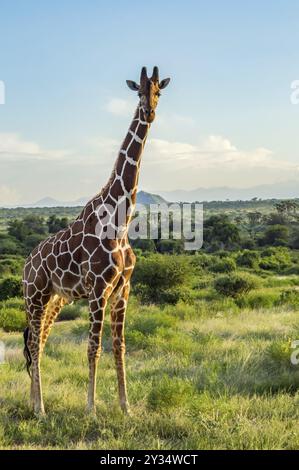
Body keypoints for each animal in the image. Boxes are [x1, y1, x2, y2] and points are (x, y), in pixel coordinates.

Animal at [22, 66, 171, 414]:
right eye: (138, 91)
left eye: (159, 90)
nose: (149, 111)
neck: (120, 220)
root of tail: (26, 264)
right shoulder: (98, 289)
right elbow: (93, 348)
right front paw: (91, 407)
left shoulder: (123, 289)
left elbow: (119, 347)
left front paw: (126, 407)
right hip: (34, 296)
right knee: (33, 343)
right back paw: (40, 409)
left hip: (55, 298)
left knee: (40, 342)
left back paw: (36, 403)